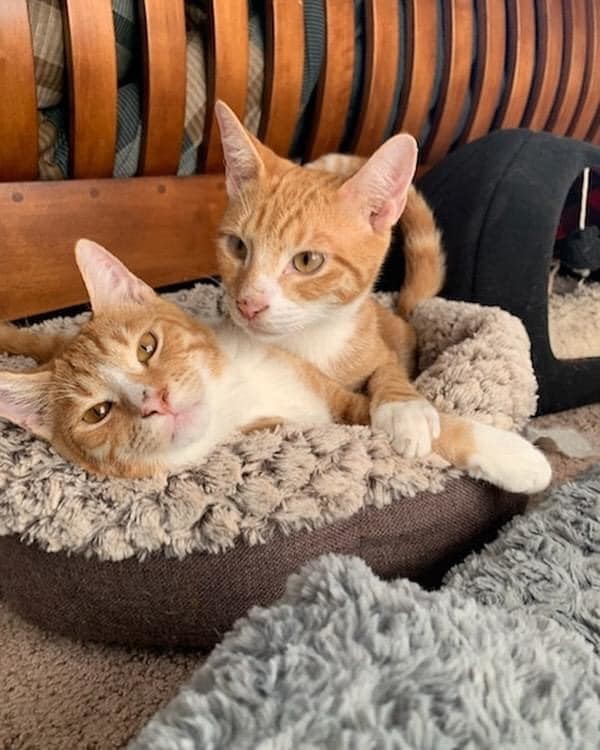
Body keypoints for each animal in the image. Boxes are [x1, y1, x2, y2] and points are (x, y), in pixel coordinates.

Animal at [213, 103, 552, 496]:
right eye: (238, 247)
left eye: (307, 261)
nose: (249, 304)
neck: (308, 344)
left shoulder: (377, 353)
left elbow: (388, 372)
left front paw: (406, 410)